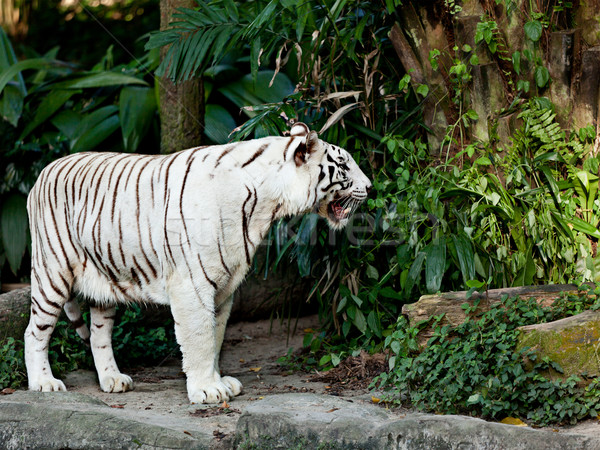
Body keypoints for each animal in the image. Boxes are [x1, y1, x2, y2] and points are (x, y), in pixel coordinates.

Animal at [25, 123, 372, 404]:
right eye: (343, 165)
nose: (370, 186)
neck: (265, 207)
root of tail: (43, 171)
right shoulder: (192, 284)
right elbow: (200, 337)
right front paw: (206, 390)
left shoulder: (224, 285)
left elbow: (215, 338)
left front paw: (219, 382)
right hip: (51, 273)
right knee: (34, 332)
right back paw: (44, 383)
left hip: (105, 281)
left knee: (99, 334)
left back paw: (113, 379)